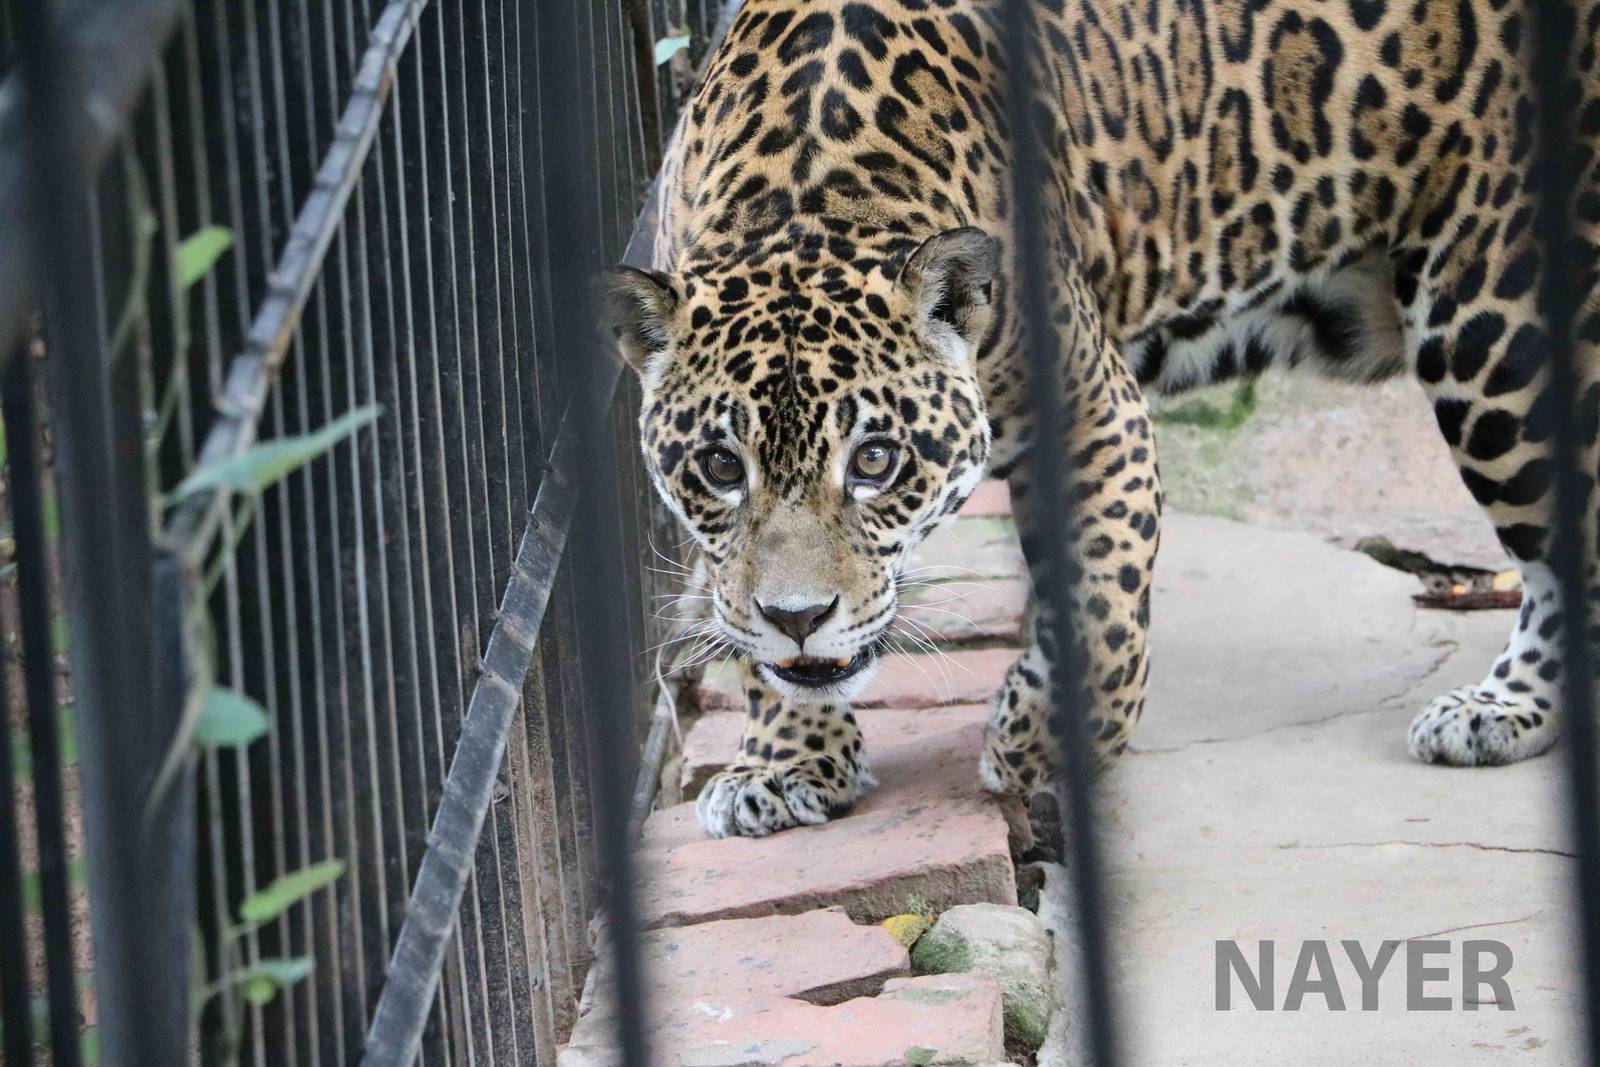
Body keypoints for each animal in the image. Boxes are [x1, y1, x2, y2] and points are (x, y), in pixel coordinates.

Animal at [600, 0, 1600, 838]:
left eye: (877, 460)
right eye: (721, 468)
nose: (801, 617)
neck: (810, 198)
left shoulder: (1097, 415)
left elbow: (1104, 610)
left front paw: (1038, 739)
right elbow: (742, 622)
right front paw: (788, 759)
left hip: (1499, 335)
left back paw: (1504, 710)